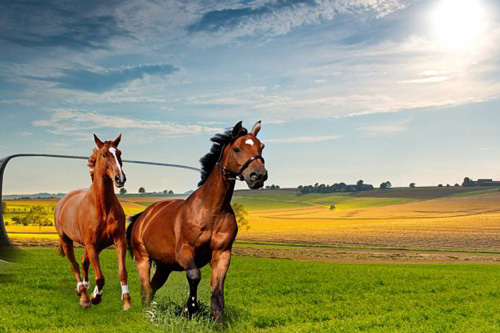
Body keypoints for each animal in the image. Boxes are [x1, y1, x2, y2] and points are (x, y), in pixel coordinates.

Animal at [54, 134, 131, 308]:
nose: (120, 178)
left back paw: (87, 287)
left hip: (97, 245)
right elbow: (100, 277)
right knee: (75, 265)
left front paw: (126, 301)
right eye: (104, 154)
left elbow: (122, 272)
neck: (102, 207)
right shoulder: (91, 244)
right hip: (67, 241)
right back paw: (83, 294)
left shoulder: (118, 240)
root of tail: (62, 201)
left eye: (119, 153)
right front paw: (95, 297)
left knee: (84, 261)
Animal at [129, 120, 268, 320]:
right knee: (146, 288)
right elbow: (194, 276)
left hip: (164, 266)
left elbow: (217, 292)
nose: (258, 176)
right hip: (143, 258)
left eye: (261, 147)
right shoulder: (185, 251)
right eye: (237, 148)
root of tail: (142, 216)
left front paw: (216, 320)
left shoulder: (222, 254)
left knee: (152, 288)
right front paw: (189, 309)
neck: (212, 211)